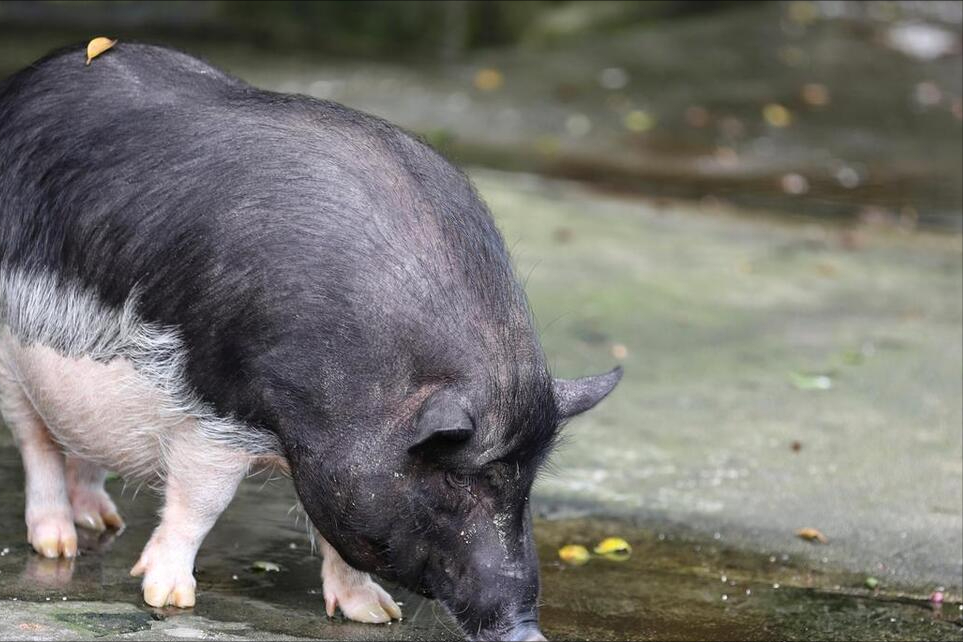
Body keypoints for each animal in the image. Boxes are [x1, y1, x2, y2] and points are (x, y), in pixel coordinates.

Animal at [0, 42, 620, 636]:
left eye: (525, 482)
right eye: (453, 479)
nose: (527, 631)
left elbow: (335, 530)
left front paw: (376, 614)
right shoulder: (216, 408)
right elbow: (202, 501)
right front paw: (168, 599)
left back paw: (104, 520)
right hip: (9, 357)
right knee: (36, 444)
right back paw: (58, 544)